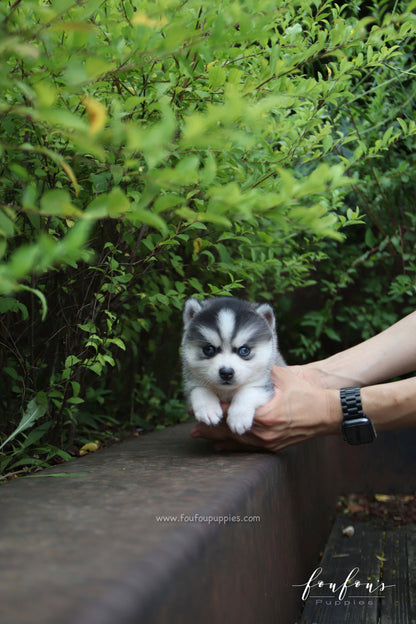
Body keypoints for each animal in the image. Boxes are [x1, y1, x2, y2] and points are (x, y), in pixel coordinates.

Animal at [182, 296, 286, 434]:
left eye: (244, 350)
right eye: (209, 349)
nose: (226, 373)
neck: (226, 391)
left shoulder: (265, 384)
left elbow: (249, 391)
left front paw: (239, 417)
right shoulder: (191, 382)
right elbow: (199, 389)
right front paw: (207, 409)